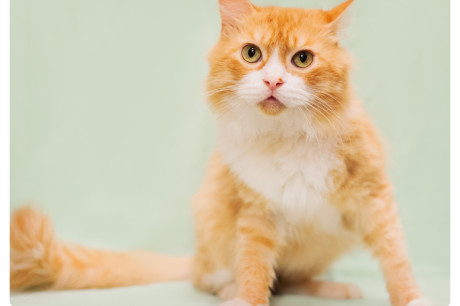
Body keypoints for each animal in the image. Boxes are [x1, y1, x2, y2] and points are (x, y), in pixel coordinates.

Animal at [9, 0, 432, 306]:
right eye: (252, 54)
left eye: (302, 59)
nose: (273, 81)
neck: (289, 136)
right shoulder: (256, 212)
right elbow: (254, 268)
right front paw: (246, 298)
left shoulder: (375, 200)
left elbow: (396, 260)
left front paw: (412, 298)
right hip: (212, 227)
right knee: (213, 278)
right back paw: (230, 291)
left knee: (291, 279)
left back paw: (330, 289)